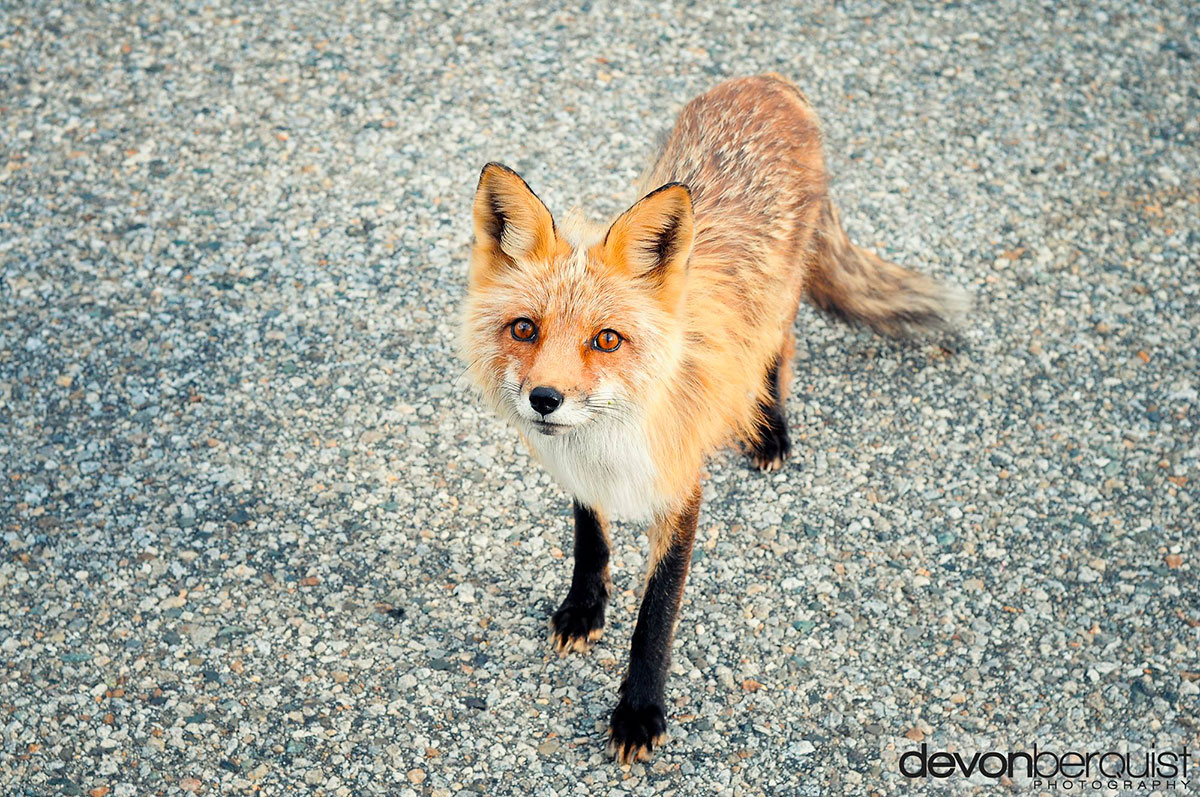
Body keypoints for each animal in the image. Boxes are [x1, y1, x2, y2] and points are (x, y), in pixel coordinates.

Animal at [460, 73, 966, 764]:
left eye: (607, 340)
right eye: (523, 329)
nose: (544, 398)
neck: (613, 438)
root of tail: (767, 81)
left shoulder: (683, 488)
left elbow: (656, 615)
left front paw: (640, 712)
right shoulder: (579, 472)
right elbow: (591, 538)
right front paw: (585, 608)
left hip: (781, 297)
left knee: (778, 350)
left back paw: (771, 428)